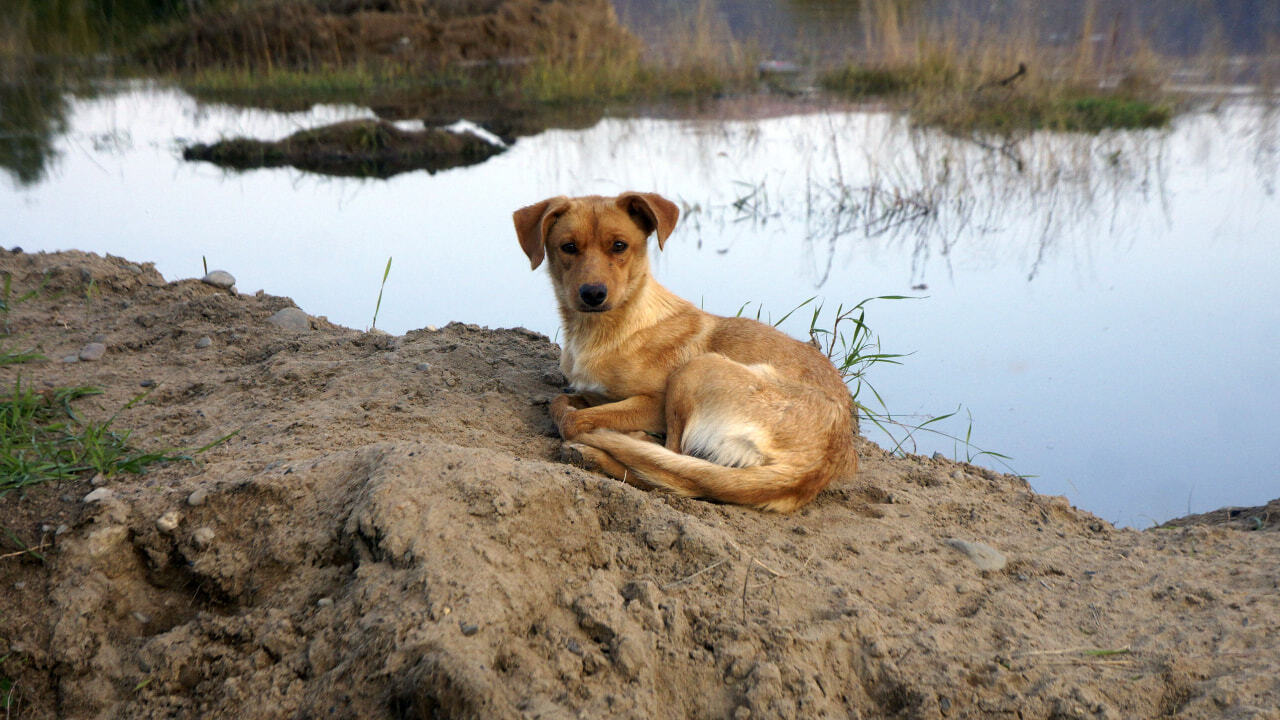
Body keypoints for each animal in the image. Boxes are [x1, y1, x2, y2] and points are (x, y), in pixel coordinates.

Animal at [512, 188, 860, 507]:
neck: (604, 330)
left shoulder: (654, 403)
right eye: (568, 247)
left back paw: (608, 446)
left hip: (695, 370)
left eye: (619, 245)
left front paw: (593, 427)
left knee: (675, 465)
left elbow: (573, 419)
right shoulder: (596, 390)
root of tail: (815, 465)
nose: (593, 294)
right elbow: (562, 400)